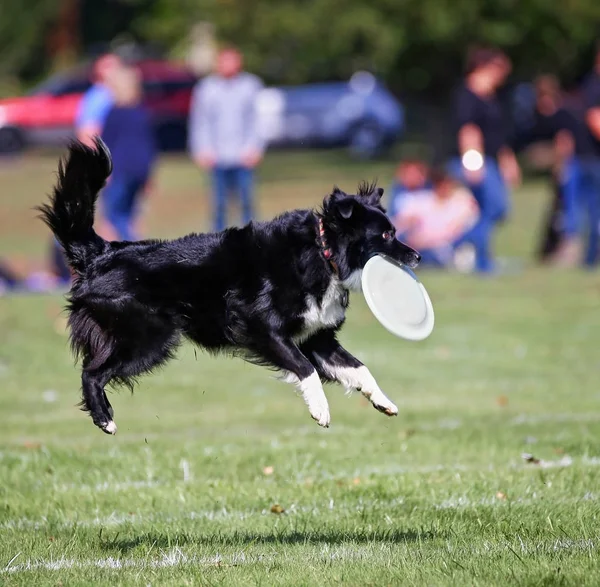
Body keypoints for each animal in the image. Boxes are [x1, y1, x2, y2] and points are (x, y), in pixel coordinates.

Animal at [39, 137, 420, 432]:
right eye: (387, 235)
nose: (417, 256)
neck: (323, 253)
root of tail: (102, 252)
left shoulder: (316, 337)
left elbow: (358, 368)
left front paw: (382, 400)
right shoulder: (261, 328)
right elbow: (304, 368)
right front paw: (320, 409)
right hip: (149, 336)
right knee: (92, 372)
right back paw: (104, 418)